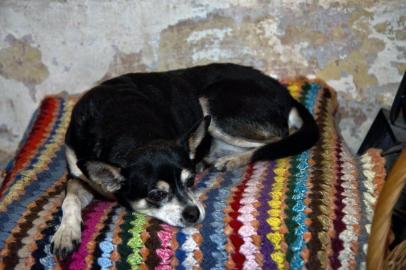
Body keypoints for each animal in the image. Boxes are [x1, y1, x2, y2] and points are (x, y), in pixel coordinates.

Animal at [50, 63, 318, 258]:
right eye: (156, 195)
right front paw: (66, 232)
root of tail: (285, 93)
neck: (124, 125)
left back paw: (230, 159)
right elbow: (69, 199)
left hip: (213, 103)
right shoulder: (77, 177)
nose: (194, 214)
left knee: (278, 139)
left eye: (190, 182)